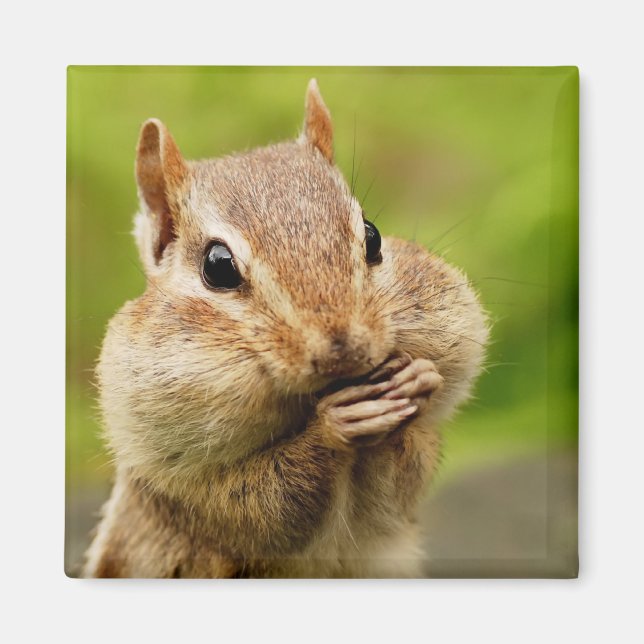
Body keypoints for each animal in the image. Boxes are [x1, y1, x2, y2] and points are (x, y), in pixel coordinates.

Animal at [82, 79, 489, 578]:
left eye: (373, 235)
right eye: (217, 266)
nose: (345, 351)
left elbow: (403, 485)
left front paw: (419, 379)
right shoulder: (193, 491)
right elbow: (267, 508)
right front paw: (333, 425)